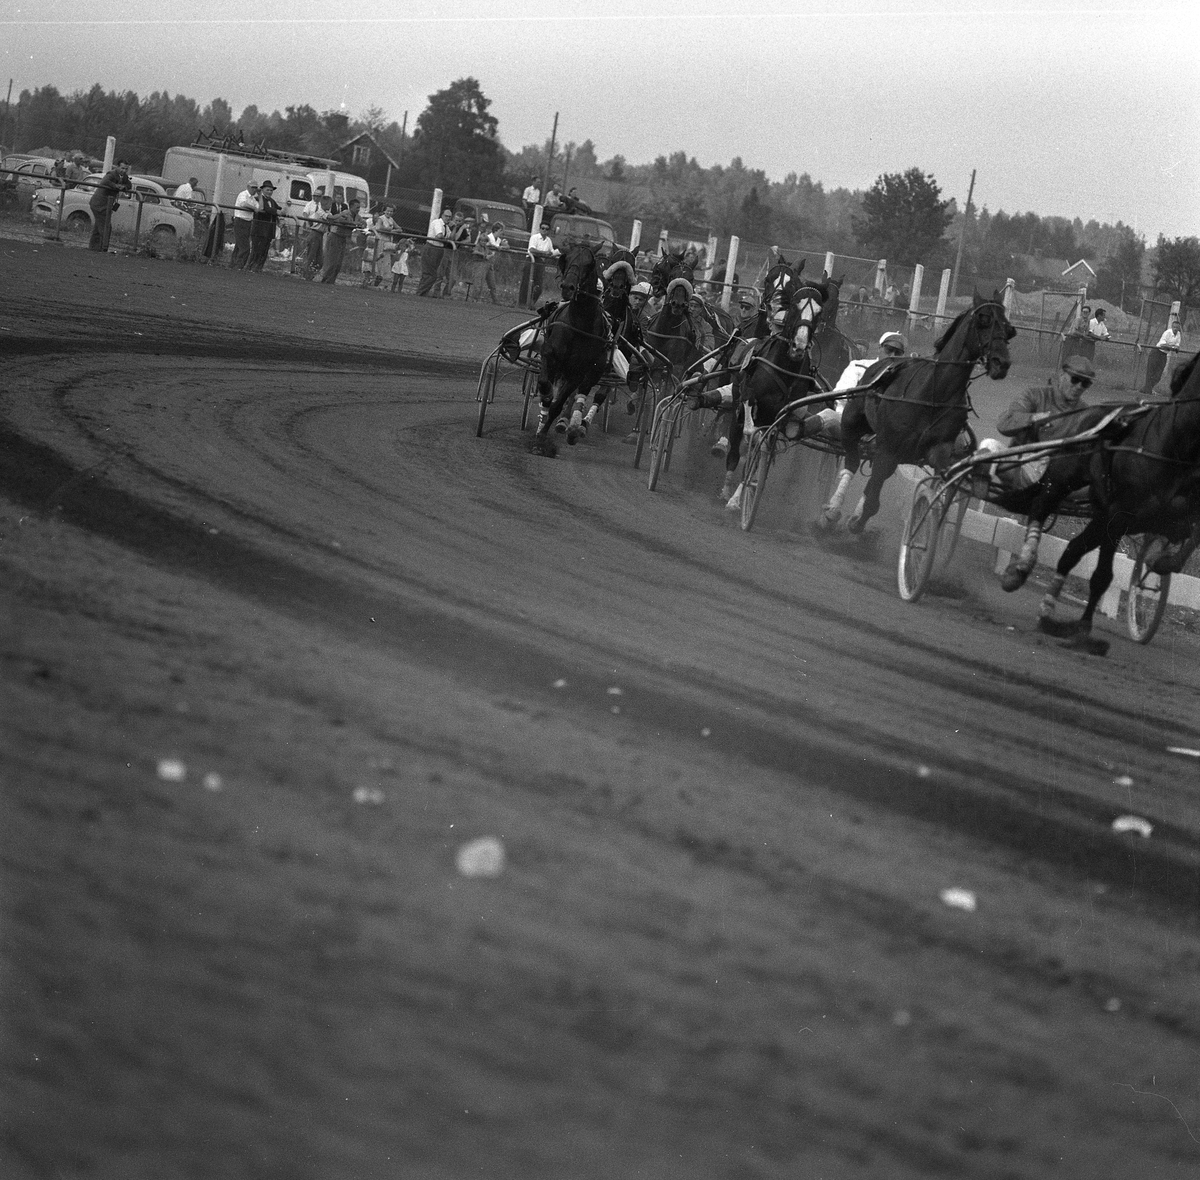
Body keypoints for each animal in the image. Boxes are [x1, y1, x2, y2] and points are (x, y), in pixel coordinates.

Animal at [532, 242, 609, 453]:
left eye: (590, 263)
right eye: (566, 258)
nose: (568, 287)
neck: (580, 323)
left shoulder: (578, 371)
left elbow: (559, 403)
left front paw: (542, 438)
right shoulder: (549, 355)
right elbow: (545, 385)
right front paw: (546, 400)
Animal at [830, 292, 1017, 532]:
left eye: (1009, 328)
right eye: (983, 320)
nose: (1001, 362)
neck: (934, 393)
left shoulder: (939, 450)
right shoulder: (888, 449)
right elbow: (873, 499)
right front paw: (856, 524)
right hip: (850, 424)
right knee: (852, 462)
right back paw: (832, 510)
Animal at [1027, 355, 1200, 653]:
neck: (1177, 445)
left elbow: (1184, 544)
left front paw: (1160, 560)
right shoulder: (1119, 515)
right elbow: (1101, 577)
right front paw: (1083, 631)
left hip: (1099, 515)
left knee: (1072, 550)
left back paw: (1047, 614)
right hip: (1065, 485)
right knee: (1040, 509)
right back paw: (1019, 569)